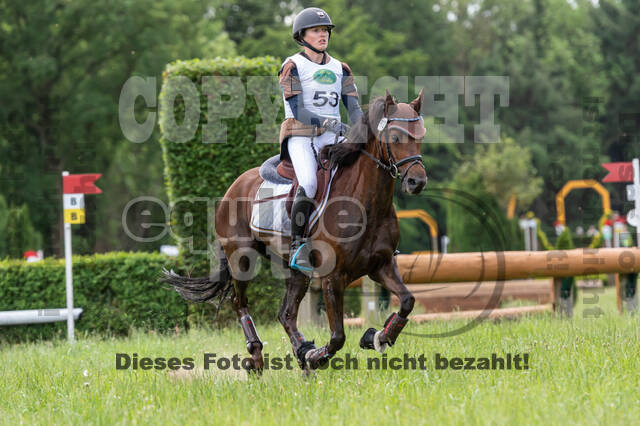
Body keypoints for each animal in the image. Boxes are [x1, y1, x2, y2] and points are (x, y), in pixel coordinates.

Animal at [162, 89, 427, 373]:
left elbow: (408, 301)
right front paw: (318, 356)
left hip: (296, 270)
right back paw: (259, 357)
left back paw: (302, 351)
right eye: (395, 137)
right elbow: (338, 336)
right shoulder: (333, 277)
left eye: (421, 136)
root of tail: (235, 185)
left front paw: (376, 337)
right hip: (241, 259)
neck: (366, 204)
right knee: (240, 302)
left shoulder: (381, 266)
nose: (417, 182)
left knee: (285, 313)